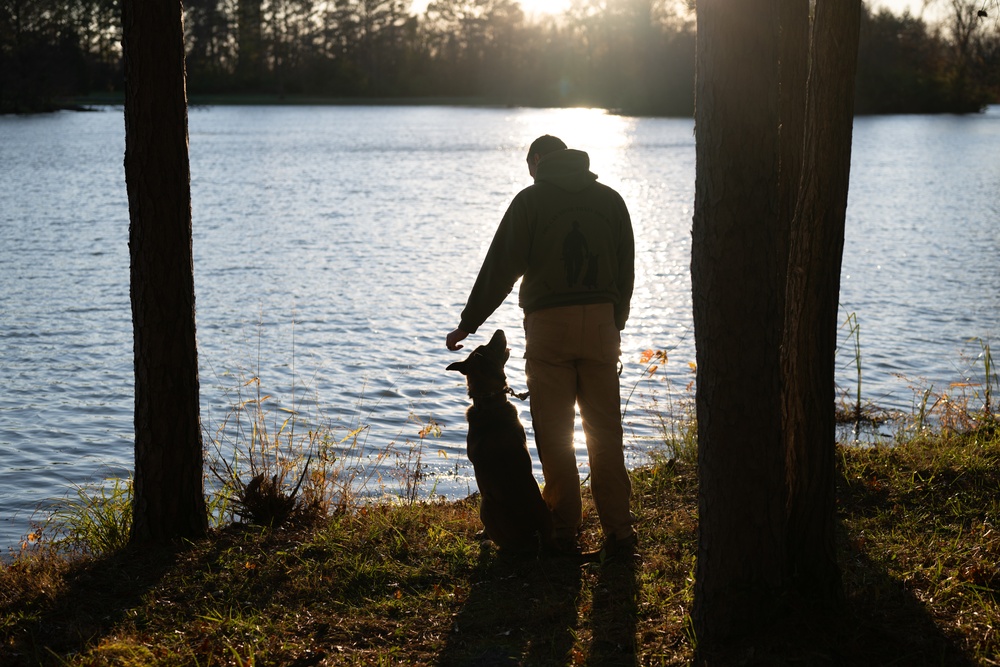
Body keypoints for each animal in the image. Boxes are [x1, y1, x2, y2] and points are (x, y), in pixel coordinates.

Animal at [448, 332, 556, 556]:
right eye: (488, 346)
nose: (499, 330)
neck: (489, 402)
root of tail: (536, 538)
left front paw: (482, 535)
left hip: (485, 505)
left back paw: (487, 543)